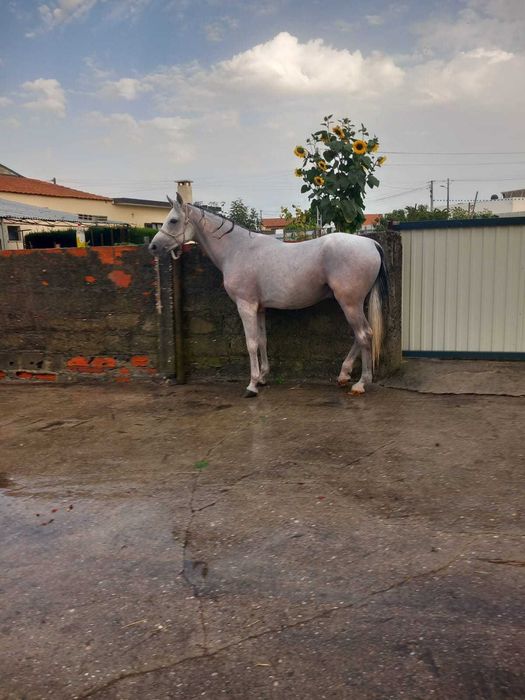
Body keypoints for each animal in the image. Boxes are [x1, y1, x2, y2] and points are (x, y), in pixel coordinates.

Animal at [149, 193, 389, 398]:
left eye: (173, 220)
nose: (153, 246)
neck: (237, 250)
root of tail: (370, 243)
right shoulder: (259, 308)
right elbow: (262, 340)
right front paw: (263, 377)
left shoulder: (245, 305)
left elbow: (251, 343)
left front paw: (252, 385)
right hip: (354, 304)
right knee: (361, 336)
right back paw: (344, 375)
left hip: (349, 303)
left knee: (364, 335)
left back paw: (360, 383)